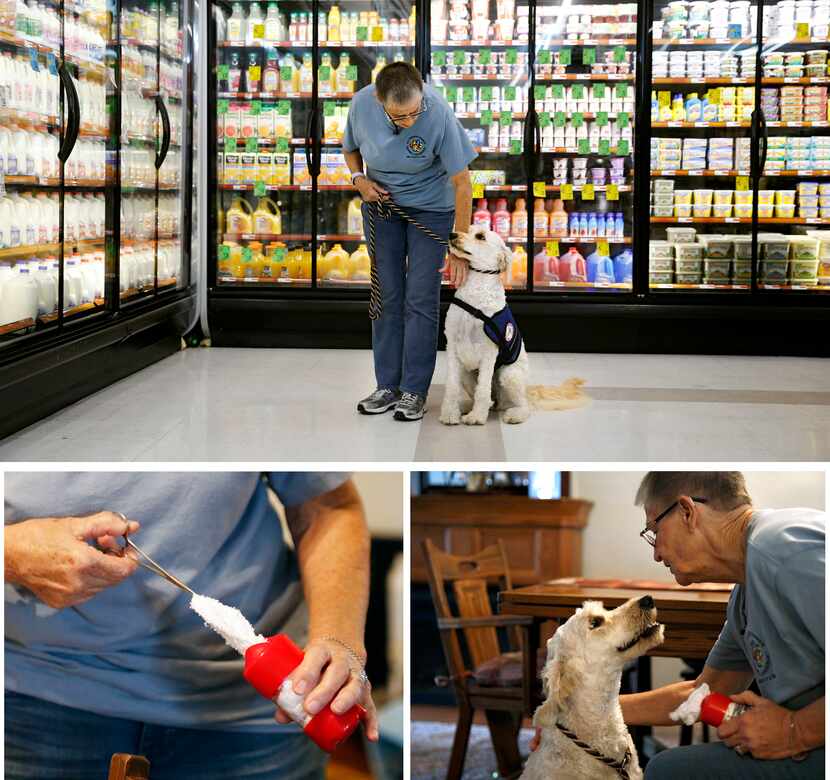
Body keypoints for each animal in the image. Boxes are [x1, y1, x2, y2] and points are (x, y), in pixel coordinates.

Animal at [442, 229, 532, 424]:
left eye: (480, 236)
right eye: (469, 230)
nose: (452, 234)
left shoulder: (489, 350)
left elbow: (482, 389)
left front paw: (476, 417)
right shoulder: (452, 346)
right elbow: (451, 386)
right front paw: (450, 413)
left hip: (509, 375)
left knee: (523, 404)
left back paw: (514, 414)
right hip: (466, 375)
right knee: (492, 400)